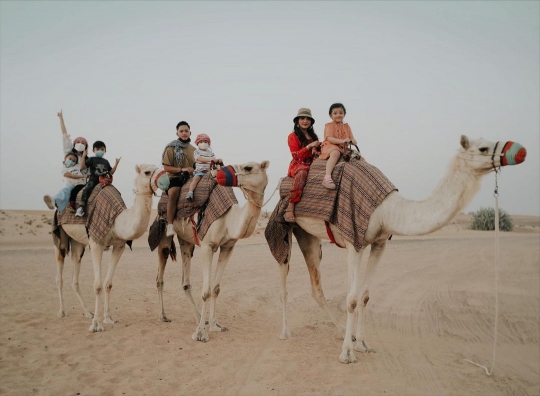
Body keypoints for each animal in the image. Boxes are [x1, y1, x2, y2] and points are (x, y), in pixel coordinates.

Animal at [53, 163, 169, 332]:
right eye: (147, 172)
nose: (167, 179)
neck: (117, 220)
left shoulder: (119, 246)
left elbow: (108, 283)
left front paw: (107, 318)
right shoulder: (96, 243)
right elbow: (97, 285)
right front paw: (96, 324)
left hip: (78, 243)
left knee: (75, 269)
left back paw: (87, 312)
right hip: (60, 234)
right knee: (60, 271)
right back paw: (62, 311)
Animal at [155, 161, 268, 344]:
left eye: (248, 167)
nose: (221, 174)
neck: (229, 219)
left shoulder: (228, 247)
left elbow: (215, 288)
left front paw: (215, 325)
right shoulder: (207, 246)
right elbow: (206, 291)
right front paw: (201, 334)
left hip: (186, 241)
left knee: (185, 282)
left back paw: (199, 318)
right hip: (164, 233)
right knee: (160, 277)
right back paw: (164, 316)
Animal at [276, 137, 524, 366]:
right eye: (482, 148)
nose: (519, 150)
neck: (387, 209)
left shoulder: (379, 243)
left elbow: (364, 296)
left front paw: (363, 344)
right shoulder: (354, 242)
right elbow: (352, 299)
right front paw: (347, 354)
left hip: (307, 234)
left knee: (316, 287)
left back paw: (343, 332)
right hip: (286, 228)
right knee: (284, 280)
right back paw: (286, 332)